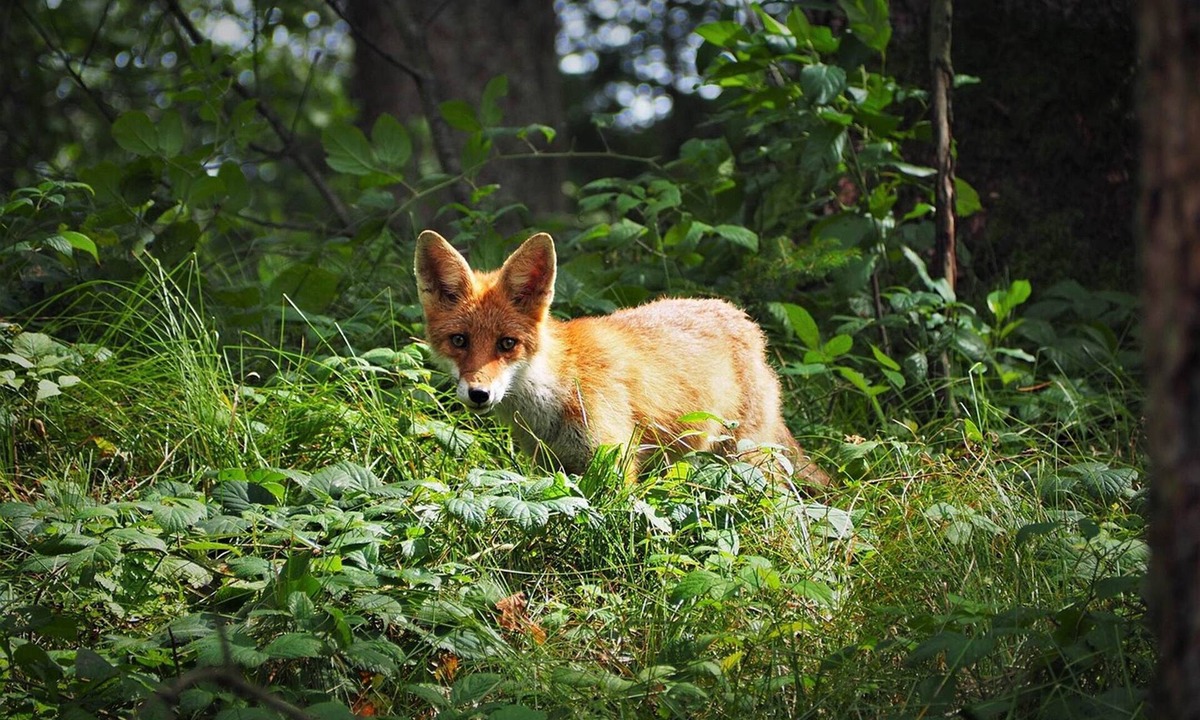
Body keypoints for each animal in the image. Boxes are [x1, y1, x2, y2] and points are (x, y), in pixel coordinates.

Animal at [414, 229, 830, 486]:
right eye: (459, 340)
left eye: (507, 344)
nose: (478, 394)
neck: (558, 387)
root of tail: (746, 322)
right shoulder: (554, 467)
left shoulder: (614, 462)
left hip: (748, 460)